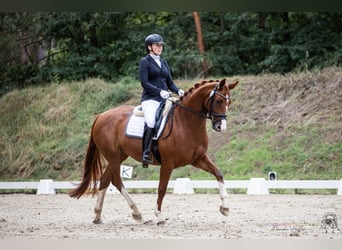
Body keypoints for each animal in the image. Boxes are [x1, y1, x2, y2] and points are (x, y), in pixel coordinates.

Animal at [68, 78, 239, 225]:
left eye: (229, 102)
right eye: (218, 101)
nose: (221, 127)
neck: (185, 122)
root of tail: (101, 115)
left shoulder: (198, 158)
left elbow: (219, 174)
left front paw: (225, 208)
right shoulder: (168, 163)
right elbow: (162, 188)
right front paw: (159, 216)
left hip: (118, 156)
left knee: (104, 180)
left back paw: (98, 215)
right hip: (114, 156)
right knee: (116, 181)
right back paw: (137, 213)